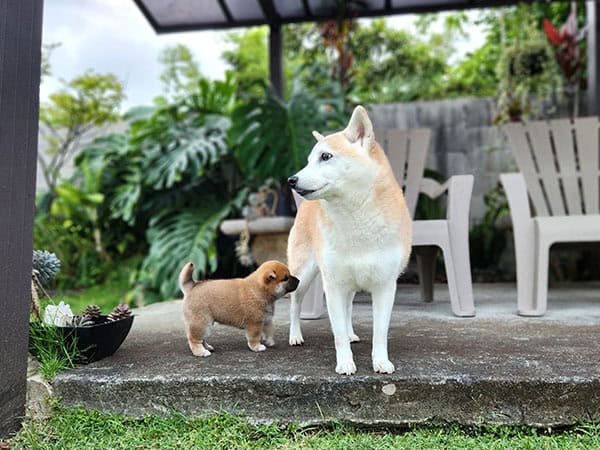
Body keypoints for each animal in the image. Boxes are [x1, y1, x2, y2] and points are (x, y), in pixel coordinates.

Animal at [288, 105, 412, 376]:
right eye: (308, 161)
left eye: (325, 157)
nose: (291, 180)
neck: (356, 217)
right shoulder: (333, 285)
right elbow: (338, 334)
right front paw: (345, 363)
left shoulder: (385, 287)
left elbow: (379, 333)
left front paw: (381, 362)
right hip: (303, 276)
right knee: (295, 302)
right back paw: (295, 335)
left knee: (347, 309)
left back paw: (352, 333)